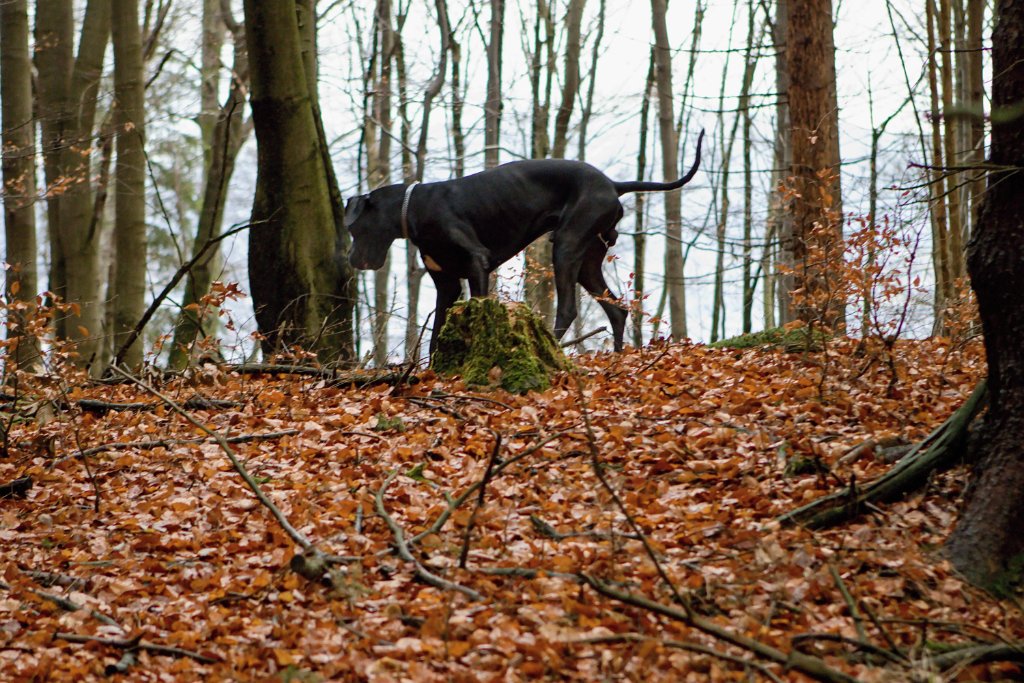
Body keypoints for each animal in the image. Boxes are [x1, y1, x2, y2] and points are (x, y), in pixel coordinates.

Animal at [348, 129, 700, 352]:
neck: (415, 206)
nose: (351, 259)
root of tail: (613, 184)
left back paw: (554, 345)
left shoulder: (477, 262)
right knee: (617, 310)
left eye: (353, 229)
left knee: (569, 309)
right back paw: (616, 355)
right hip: (588, 260)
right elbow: (436, 333)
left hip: (566, 246)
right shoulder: (446, 284)